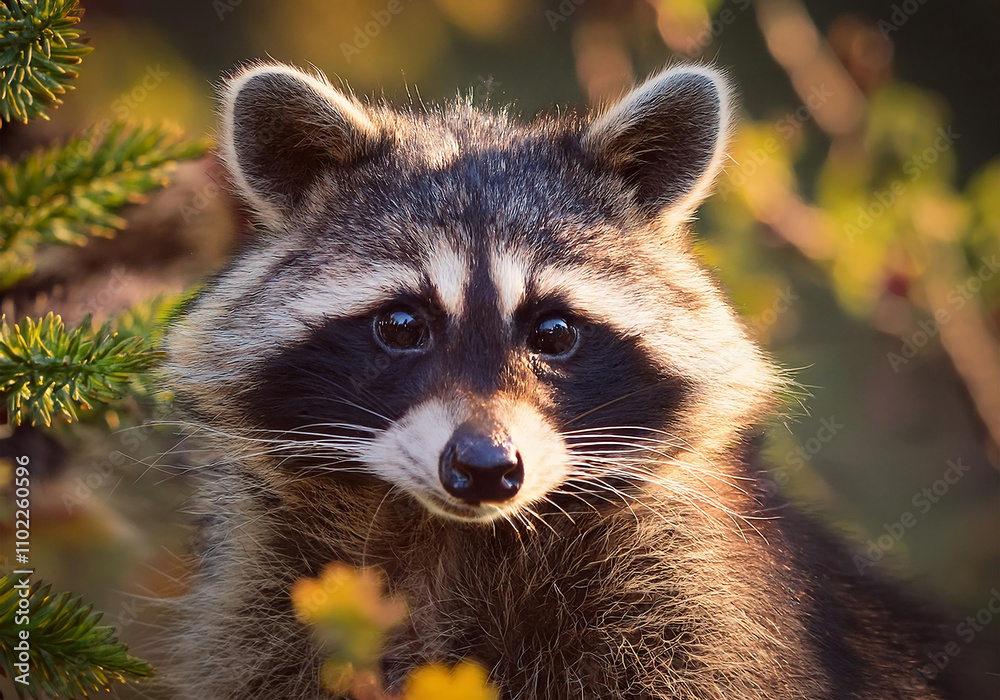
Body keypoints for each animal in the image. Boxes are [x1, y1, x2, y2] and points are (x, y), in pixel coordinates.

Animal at [161, 62, 957, 699]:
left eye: (553, 333)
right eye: (402, 325)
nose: (485, 467)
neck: (459, 541)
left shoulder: (691, 604)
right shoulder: (268, 604)